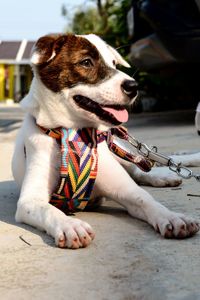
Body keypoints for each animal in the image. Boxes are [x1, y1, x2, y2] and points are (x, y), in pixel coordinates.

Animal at [12, 33, 198, 248]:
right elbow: (49, 210)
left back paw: (162, 176)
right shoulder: (29, 201)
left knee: (138, 168)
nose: (134, 86)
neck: (74, 136)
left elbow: (144, 198)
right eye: (86, 62)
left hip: (118, 151)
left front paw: (172, 217)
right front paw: (69, 225)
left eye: (114, 63)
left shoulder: (125, 189)